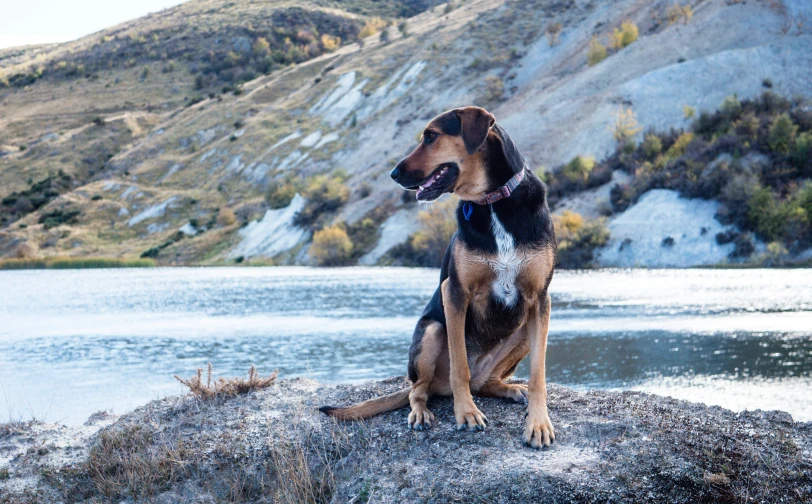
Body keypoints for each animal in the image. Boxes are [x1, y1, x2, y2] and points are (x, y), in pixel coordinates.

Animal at [320, 105, 556, 448]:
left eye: (431, 136)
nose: (393, 174)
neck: (493, 202)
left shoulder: (539, 299)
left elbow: (539, 375)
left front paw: (538, 424)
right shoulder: (455, 292)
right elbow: (460, 368)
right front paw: (466, 413)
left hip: (525, 327)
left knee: (484, 382)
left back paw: (509, 388)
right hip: (431, 331)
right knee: (419, 389)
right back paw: (421, 412)